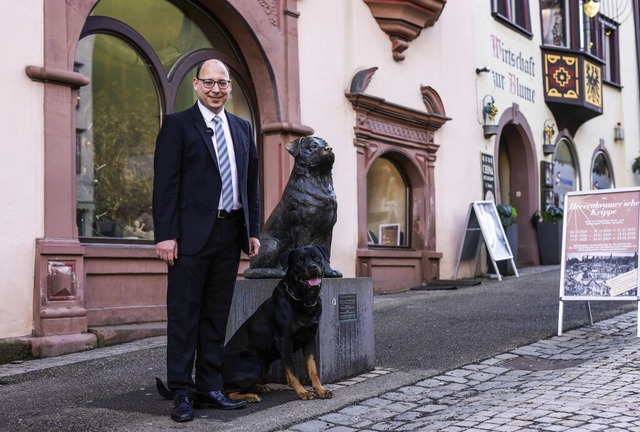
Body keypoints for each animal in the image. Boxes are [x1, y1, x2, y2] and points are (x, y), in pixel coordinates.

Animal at [157, 245, 332, 404]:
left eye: (317, 258)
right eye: (299, 261)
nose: (313, 266)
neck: (304, 300)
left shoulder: (309, 338)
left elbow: (313, 368)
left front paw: (320, 389)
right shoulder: (284, 340)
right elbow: (293, 371)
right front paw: (302, 392)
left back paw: (259, 387)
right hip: (254, 364)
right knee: (228, 391)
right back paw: (249, 396)